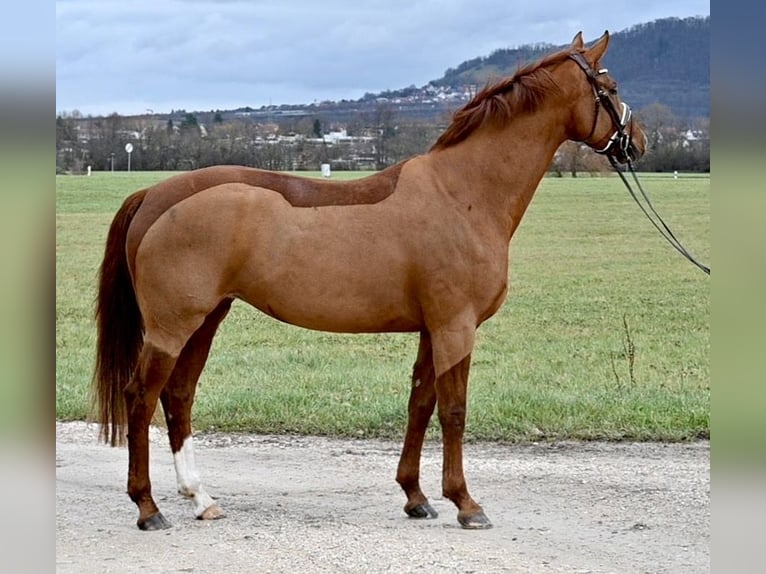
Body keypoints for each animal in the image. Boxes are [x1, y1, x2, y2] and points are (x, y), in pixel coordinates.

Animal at [94, 33, 648, 532]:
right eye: (611, 87)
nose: (638, 141)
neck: (462, 193)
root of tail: (153, 195)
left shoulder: (432, 329)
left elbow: (421, 403)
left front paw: (416, 497)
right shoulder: (456, 326)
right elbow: (454, 410)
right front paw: (466, 504)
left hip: (207, 318)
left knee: (178, 396)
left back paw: (200, 498)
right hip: (172, 326)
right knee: (141, 396)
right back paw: (148, 508)